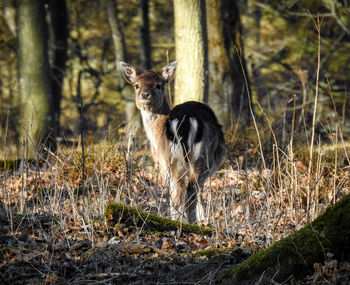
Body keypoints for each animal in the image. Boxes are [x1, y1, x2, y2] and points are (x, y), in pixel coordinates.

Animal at [119, 61, 226, 223]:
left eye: (158, 85)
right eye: (136, 85)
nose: (145, 94)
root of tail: (186, 121)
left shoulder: (162, 164)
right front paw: (203, 219)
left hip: (178, 159)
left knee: (183, 191)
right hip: (195, 158)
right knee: (188, 189)